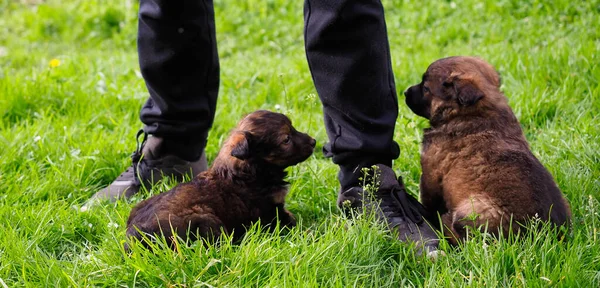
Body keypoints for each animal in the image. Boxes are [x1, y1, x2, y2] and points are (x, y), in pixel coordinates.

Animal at [125, 110, 316, 250]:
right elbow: (292, 221)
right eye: (286, 139)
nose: (314, 141)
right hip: (207, 219)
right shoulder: (271, 212)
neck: (251, 170)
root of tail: (135, 237)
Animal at [404, 55, 572, 243]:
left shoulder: (431, 173)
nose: (405, 92)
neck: (473, 112)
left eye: (426, 88)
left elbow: (429, 203)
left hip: (474, 208)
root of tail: (543, 234)